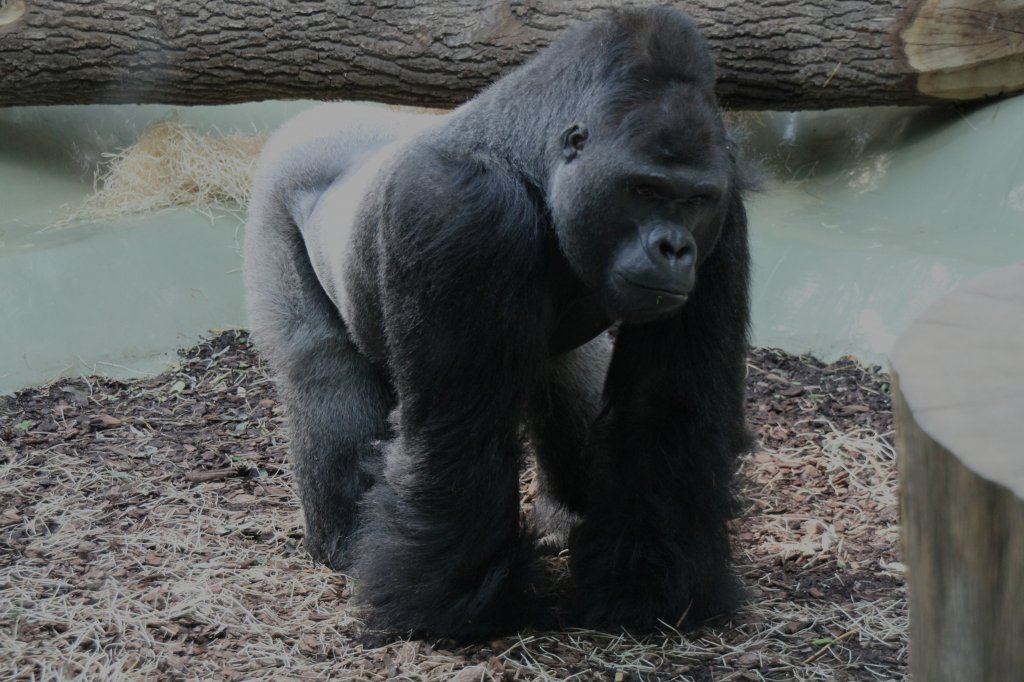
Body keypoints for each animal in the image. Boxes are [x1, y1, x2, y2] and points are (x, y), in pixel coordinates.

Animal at [242, 6, 749, 638]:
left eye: (696, 199)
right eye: (644, 189)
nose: (675, 249)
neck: (534, 163)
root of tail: (326, 112)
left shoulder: (724, 217)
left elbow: (665, 412)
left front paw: (651, 587)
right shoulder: (465, 212)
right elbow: (461, 432)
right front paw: (455, 607)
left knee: (565, 377)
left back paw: (565, 515)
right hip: (277, 184)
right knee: (319, 369)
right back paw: (343, 540)